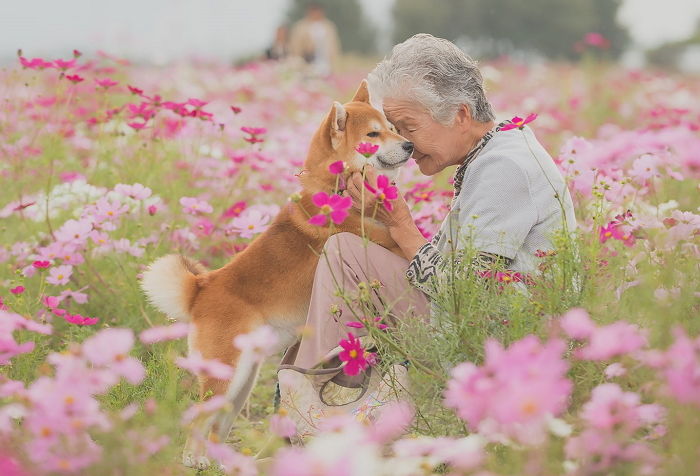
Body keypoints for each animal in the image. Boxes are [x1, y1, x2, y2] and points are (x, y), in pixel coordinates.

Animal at [141, 81, 416, 468]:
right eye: (373, 134)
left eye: (392, 127)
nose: (409, 145)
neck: (335, 188)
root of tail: (201, 288)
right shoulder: (384, 244)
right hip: (226, 373)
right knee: (199, 418)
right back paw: (196, 460)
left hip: (243, 379)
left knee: (218, 422)